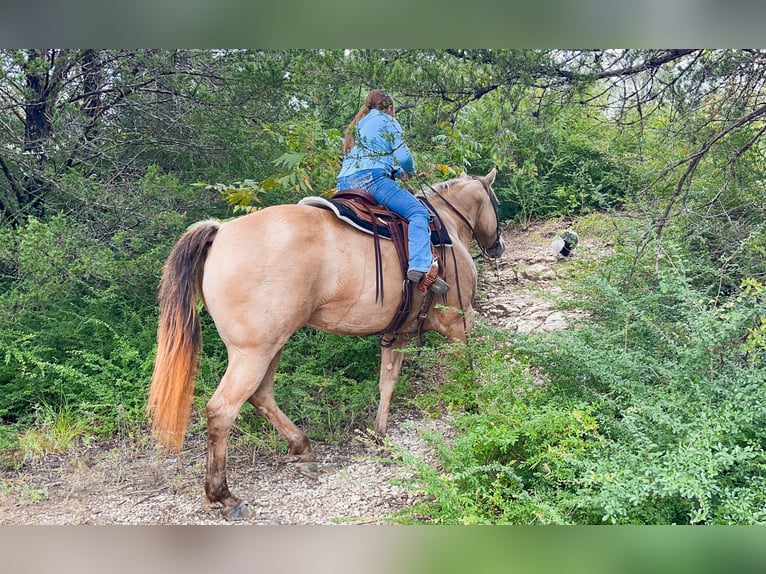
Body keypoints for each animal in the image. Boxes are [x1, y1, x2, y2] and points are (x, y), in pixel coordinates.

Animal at [147, 168, 505, 520]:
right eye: (496, 202)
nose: (498, 246)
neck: (445, 227)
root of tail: (220, 232)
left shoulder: (399, 333)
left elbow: (387, 382)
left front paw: (379, 435)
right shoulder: (460, 320)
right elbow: (468, 367)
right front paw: (476, 408)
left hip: (271, 346)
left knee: (261, 395)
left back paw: (302, 449)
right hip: (253, 352)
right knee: (222, 410)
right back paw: (224, 496)